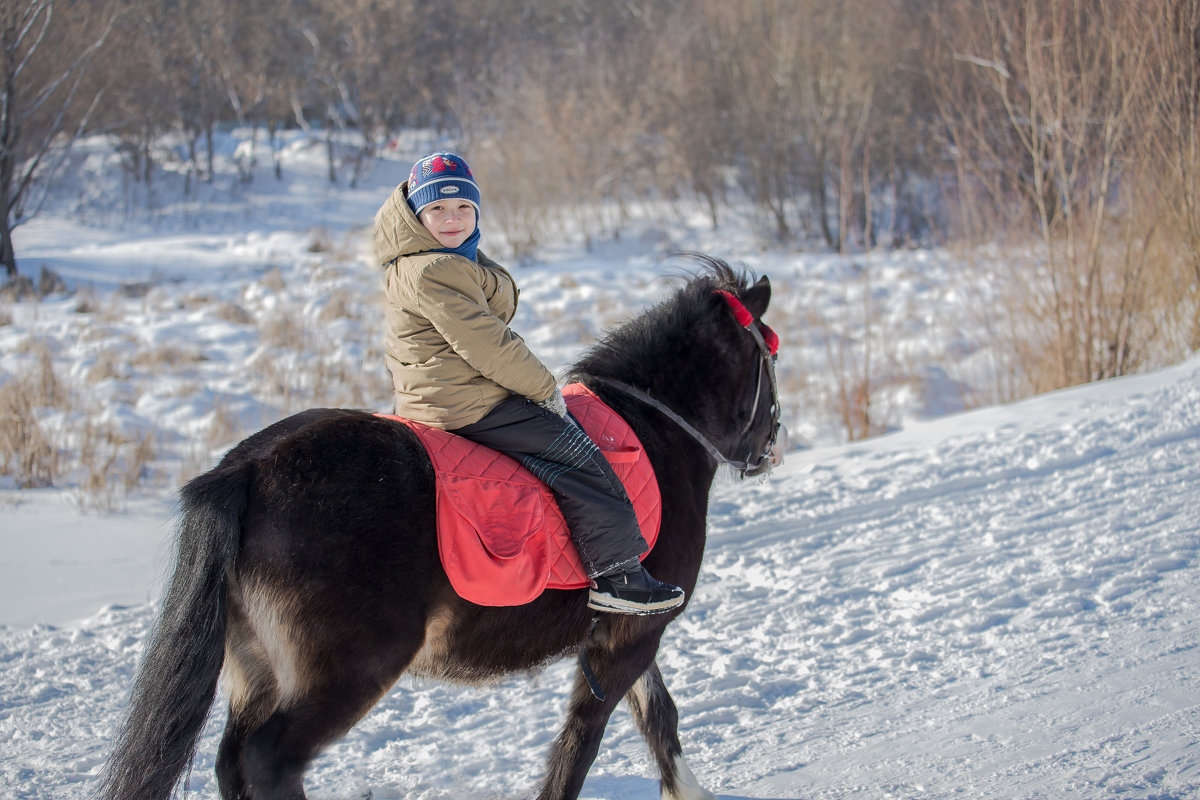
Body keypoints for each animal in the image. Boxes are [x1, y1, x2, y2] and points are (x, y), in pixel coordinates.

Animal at [98, 256, 782, 800]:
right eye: (769, 357)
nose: (770, 446)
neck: (651, 430)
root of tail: (247, 470)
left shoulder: (630, 631)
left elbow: (658, 718)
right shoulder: (630, 636)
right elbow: (581, 742)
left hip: (256, 669)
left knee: (232, 762)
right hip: (347, 671)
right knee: (270, 761)